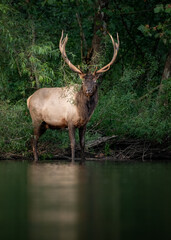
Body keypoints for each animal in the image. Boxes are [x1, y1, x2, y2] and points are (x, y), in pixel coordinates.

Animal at [27, 29, 119, 161]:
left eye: (95, 82)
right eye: (83, 82)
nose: (88, 90)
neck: (83, 111)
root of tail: (29, 99)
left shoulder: (84, 124)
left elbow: (83, 143)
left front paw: (83, 159)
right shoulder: (69, 122)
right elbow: (72, 143)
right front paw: (73, 160)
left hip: (45, 124)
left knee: (34, 139)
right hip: (36, 119)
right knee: (33, 140)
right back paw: (36, 159)